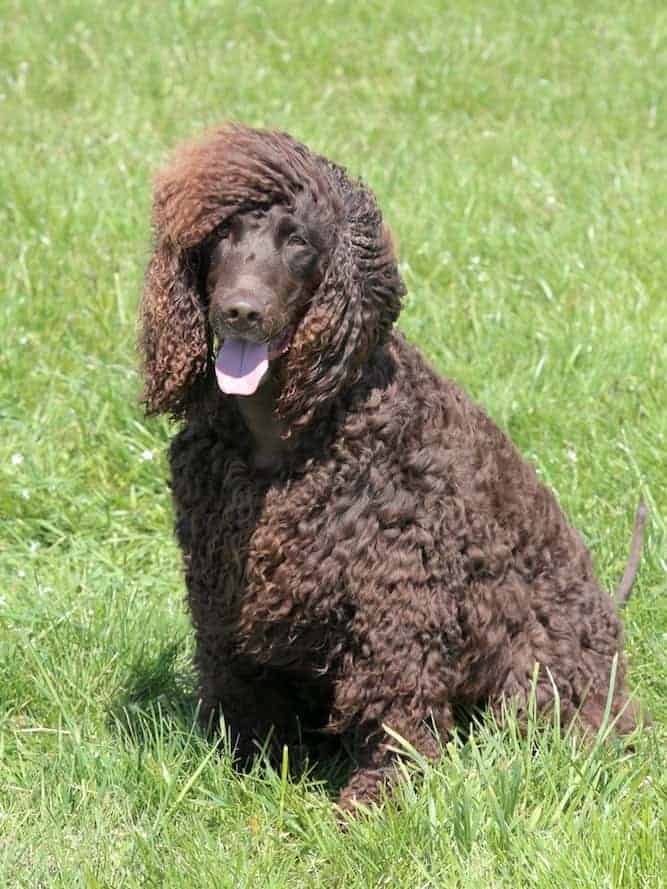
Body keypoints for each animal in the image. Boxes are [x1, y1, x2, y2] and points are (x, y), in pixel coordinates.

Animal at [141, 125, 648, 812]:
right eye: (222, 235)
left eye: (298, 241)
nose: (240, 311)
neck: (286, 434)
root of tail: (610, 621)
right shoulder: (220, 576)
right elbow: (238, 685)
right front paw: (244, 769)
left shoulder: (398, 589)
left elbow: (396, 703)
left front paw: (379, 799)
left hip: (541, 671)